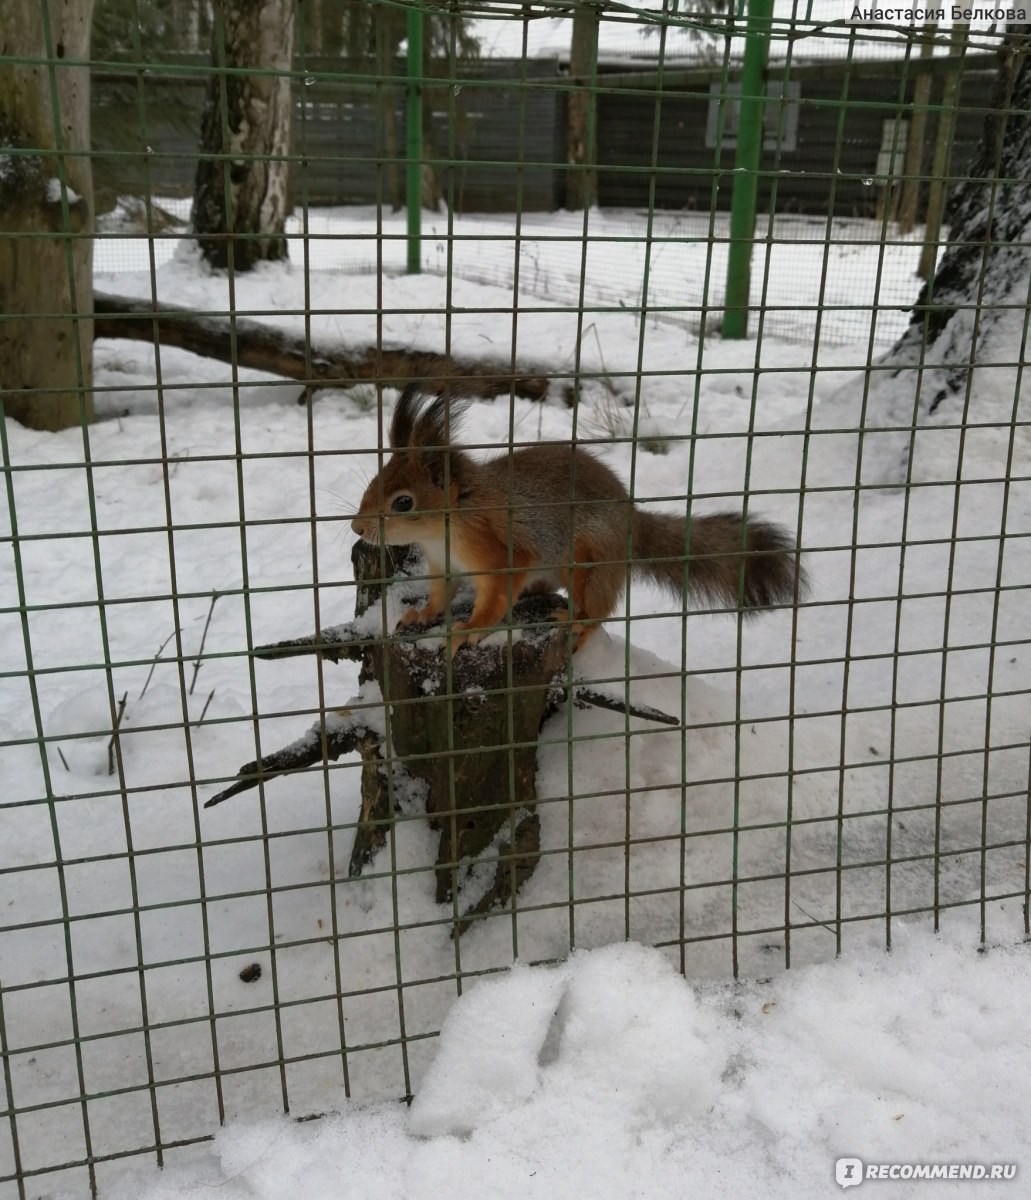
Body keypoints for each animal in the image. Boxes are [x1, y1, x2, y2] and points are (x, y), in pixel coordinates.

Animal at [350, 386, 801, 657]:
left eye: (403, 502)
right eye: (372, 482)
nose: (357, 528)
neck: (451, 521)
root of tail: (632, 523)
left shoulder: (500, 552)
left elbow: (494, 599)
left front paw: (468, 628)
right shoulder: (443, 564)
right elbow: (441, 595)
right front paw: (422, 615)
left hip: (588, 558)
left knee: (598, 609)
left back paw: (575, 623)